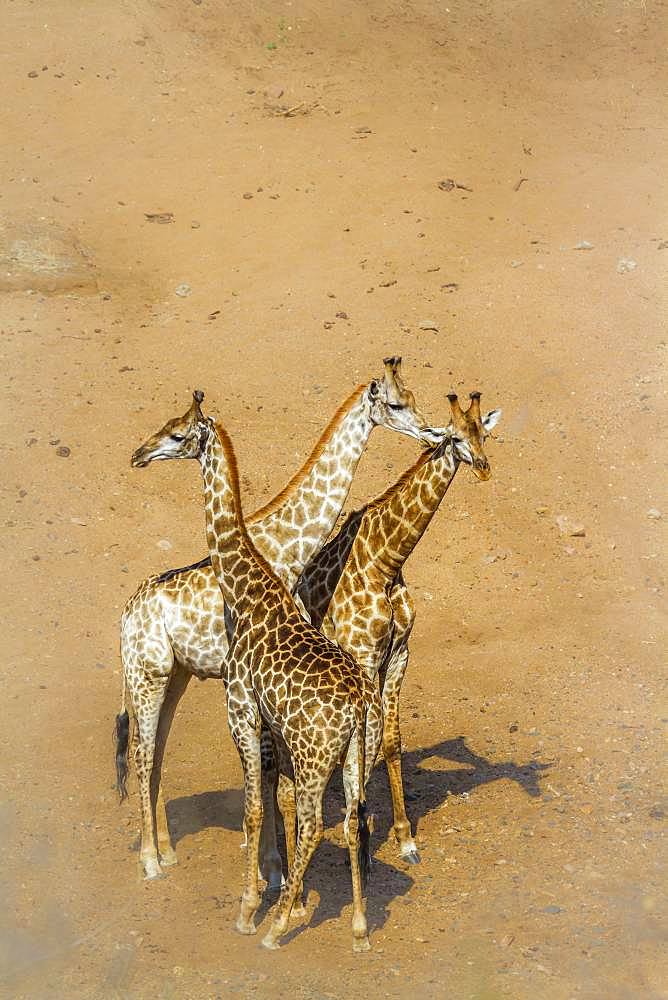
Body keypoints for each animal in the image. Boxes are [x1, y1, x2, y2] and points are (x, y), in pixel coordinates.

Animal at [113, 356, 438, 880]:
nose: (139, 454)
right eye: (394, 405)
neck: (288, 549)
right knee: (141, 754)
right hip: (148, 673)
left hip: (176, 674)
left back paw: (167, 849)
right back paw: (150, 861)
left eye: (410, 398)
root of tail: (125, 614)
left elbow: (271, 773)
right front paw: (272, 864)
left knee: (155, 750)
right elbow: (269, 774)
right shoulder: (250, 681)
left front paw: (273, 860)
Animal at [129, 392, 386, 952]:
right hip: (351, 754)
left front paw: (251, 908)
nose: (139, 453)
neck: (250, 591)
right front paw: (279, 888)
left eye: (178, 434)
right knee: (351, 815)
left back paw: (273, 926)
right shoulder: (263, 719)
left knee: (315, 822)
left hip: (311, 755)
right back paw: (358, 928)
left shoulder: (242, 710)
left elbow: (253, 805)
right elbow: (267, 796)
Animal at [294, 394, 498, 864]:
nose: (483, 467)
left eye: (485, 432)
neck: (385, 563)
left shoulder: (401, 653)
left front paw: (405, 838)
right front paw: (364, 827)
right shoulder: (366, 658)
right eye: (455, 437)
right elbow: (367, 743)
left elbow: (389, 740)